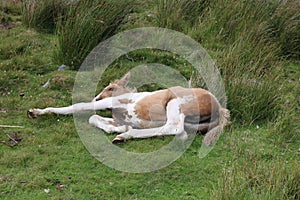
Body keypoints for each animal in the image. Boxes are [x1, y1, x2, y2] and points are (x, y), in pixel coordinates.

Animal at [28, 72, 230, 145]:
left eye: (110, 88)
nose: (96, 97)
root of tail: (219, 108)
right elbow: (94, 118)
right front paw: (115, 128)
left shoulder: (112, 102)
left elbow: (80, 107)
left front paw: (36, 112)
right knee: (181, 133)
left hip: (175, 104)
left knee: (173, 127)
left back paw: (125, 136)